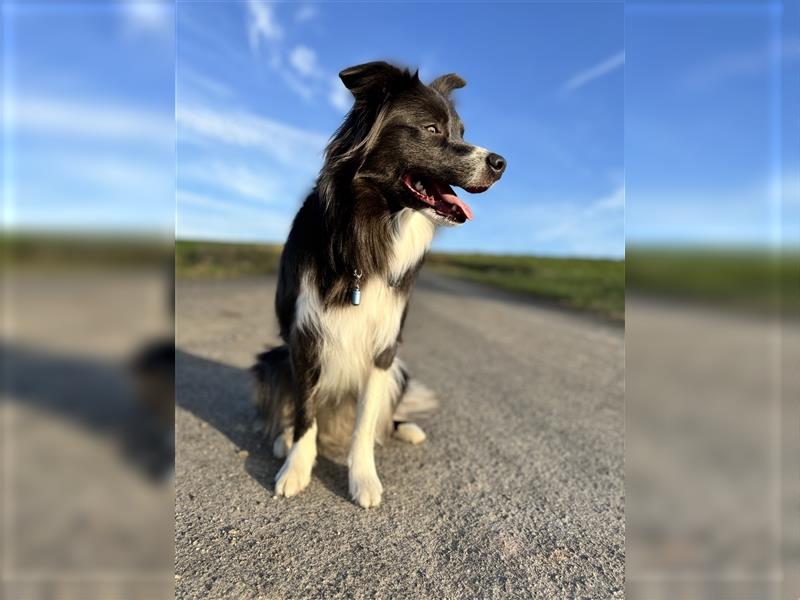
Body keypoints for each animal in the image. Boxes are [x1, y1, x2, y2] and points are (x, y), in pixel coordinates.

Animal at [253, 61, 506, 506]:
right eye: (431, 129)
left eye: (461, 131)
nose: (501, 163)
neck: (364, 231)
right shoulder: (304, 337)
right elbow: (304, 412)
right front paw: (296, 469)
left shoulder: (383, 347)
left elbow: (365, 424)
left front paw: (363, 479)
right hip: (273, 360)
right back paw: (284, 440)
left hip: (399, 370)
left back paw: (406, 429)